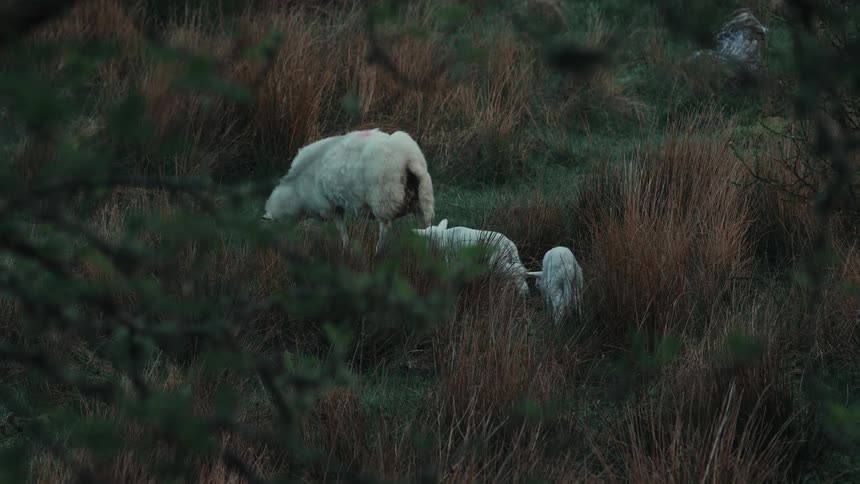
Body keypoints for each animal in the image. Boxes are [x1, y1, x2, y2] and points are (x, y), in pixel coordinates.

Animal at [262, 128, 435, 255]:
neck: (296, 192)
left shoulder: (327, 206)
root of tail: (408, 157)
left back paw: (378, 252)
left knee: (385, 229)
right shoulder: (342, 207)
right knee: (426, 228)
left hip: (383, 200)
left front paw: (344, 247)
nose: (275, 249)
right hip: (423, 201)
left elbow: (339, 229)